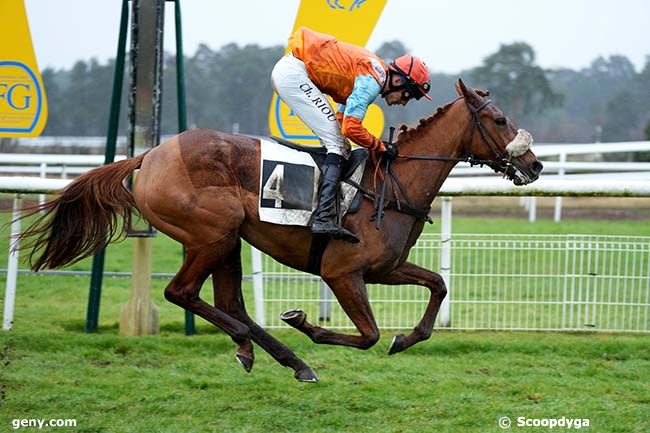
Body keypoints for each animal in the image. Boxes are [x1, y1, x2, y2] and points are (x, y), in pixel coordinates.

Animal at [16, 78, 540, 382]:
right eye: (499, 119)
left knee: (229, 303)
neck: (392, 184)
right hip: (213, 232)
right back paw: (268, 347)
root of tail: (152, 154)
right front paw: (308, 324)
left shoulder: (384, 269)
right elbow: (367, 334)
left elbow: (437, 285)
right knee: (182, 293)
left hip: (225, 241)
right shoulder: (342, 272)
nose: (534, 165)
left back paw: (272, 354)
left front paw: (406, 338)